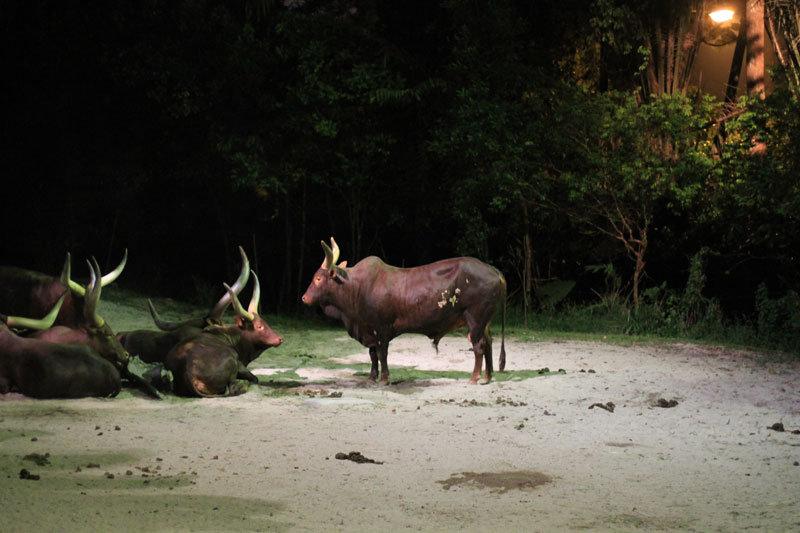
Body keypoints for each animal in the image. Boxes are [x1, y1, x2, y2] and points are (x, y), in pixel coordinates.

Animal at [300, 237, 506, 382]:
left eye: (318, 278)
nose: (304, 298)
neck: (357, 287)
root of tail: (493, 270)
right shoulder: (369, 330)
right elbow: (372, 355)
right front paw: (372, 377)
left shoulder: (382, 328)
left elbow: (382, 354)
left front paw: (384, 378)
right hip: (484, 321)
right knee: (488, 343)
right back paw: (487, 376)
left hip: (475, 319)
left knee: (479, 346)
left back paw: (474, 378)